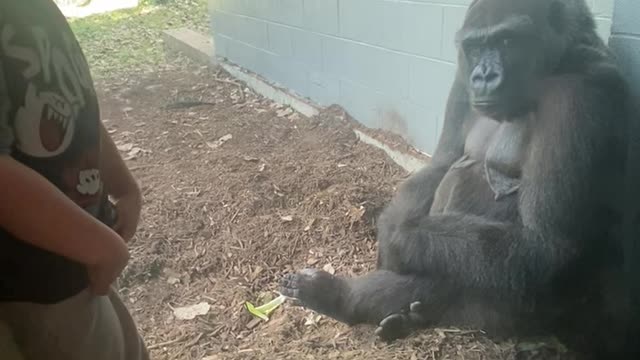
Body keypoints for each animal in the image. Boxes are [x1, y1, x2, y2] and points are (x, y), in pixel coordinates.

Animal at [282, 0, 636, 358]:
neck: (559, 58)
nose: (484, 76)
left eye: (507, 41)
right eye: (476, 48)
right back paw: (404, 318)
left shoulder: (577, 94)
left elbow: (547, 242)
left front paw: (395, 238)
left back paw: (340, 298)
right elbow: (443, 163)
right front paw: (388, 227)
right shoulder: (461, 78)